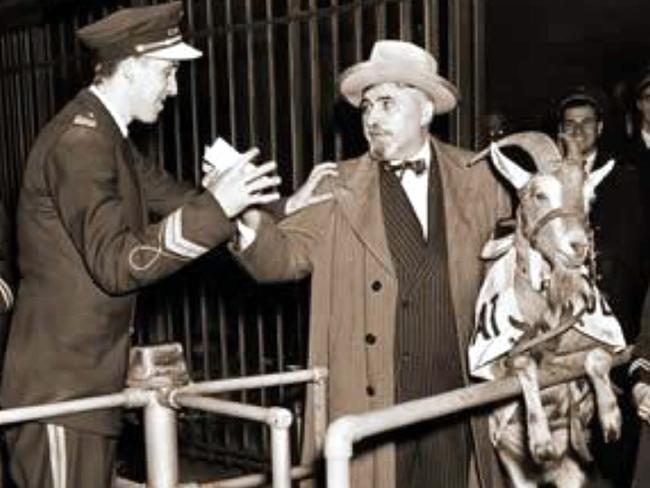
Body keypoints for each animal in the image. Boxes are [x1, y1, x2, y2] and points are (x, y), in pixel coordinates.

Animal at [468, 132, 624, 488]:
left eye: (590, 198)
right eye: (539, 194)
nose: (579, 246)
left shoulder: (594, 347)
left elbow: (597, 357)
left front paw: (611, 419)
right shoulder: (498, 368)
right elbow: (524, 364)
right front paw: (540, 441)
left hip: (572, 467)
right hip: (513, 464)